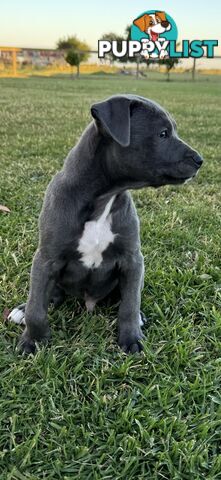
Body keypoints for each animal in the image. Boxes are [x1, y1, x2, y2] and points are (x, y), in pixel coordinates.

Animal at [8, 95, 202, 354]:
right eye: (163, 134)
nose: (200, 160)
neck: (104, 198)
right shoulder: (46, 259)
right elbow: (36, 308)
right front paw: (32, 341)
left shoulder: (133, 260)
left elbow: (129, 305)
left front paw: (132, 339)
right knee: (51, 295)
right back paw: (24, 309)